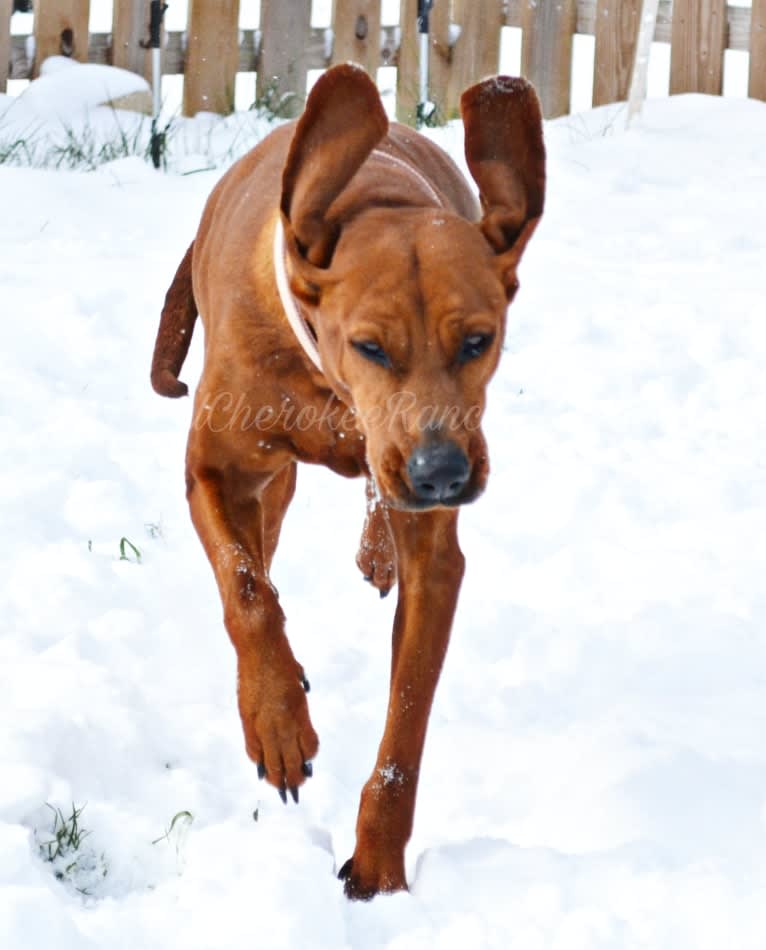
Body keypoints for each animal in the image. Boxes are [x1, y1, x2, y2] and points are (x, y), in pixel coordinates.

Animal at [150, 67, 544, 900]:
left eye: (479, 341)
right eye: (370, 346)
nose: (442, 475)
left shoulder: (436, 557)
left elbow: (407, 722)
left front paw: (379, 866)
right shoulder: (215, 469)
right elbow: (247, 592)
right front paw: (275, 719)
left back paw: (375, 551)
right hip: (272, 481)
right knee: (260, 557)